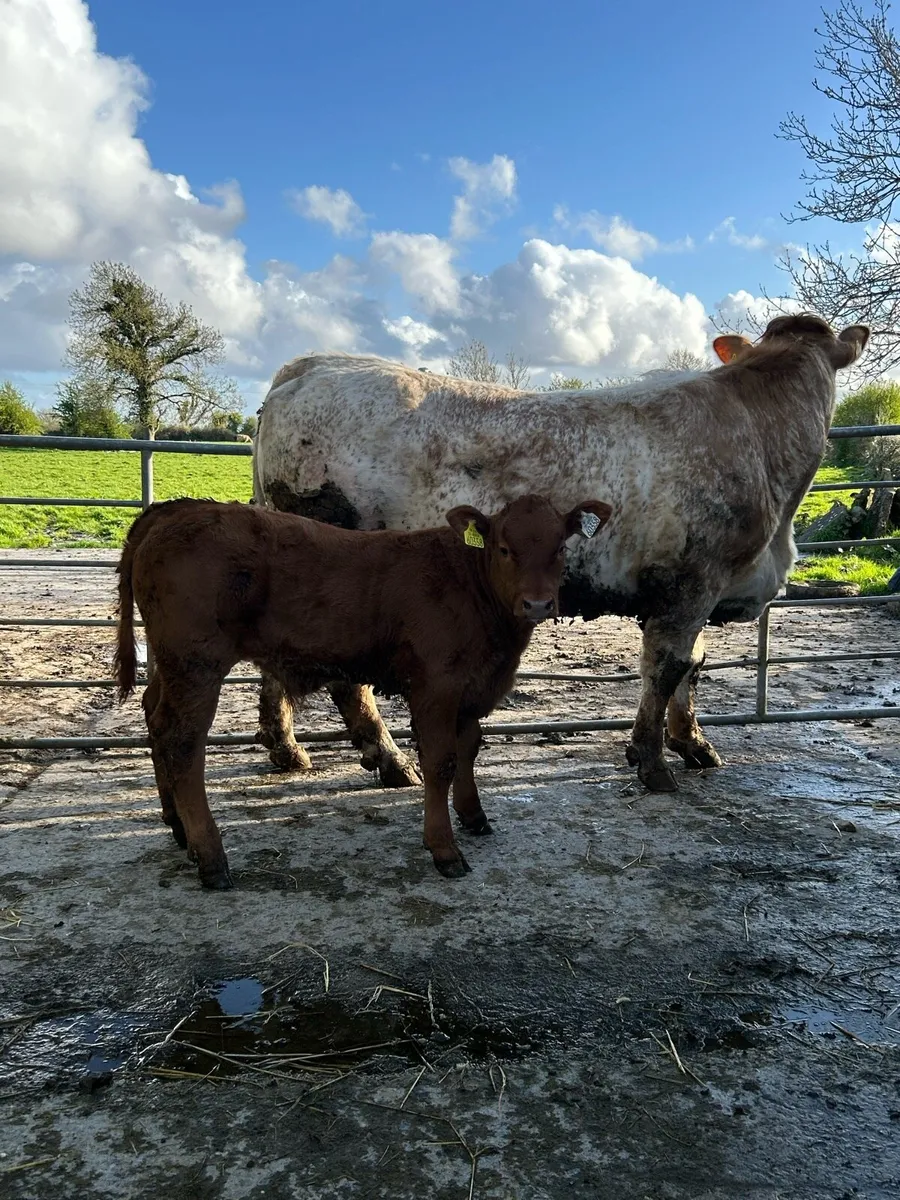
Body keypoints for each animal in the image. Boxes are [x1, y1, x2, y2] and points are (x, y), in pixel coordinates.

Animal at [115, 493, 611, 889]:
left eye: (560, 547)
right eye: (505, 548)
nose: (538, 603)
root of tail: (176, 510)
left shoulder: (473, 686)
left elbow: (469, 748)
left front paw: (474, 816)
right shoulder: (436, 687)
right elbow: (441, 762)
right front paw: (444, 848)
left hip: (173, 666)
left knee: (154, 717)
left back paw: (178, 827)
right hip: (197, 664)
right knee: (182, 743)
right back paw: (212, 858)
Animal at [252, 314, 869, 793]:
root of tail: (312, 365)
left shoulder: (698, 589)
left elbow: (692, 667)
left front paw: (693, 744)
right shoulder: (692, 581)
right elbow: (666, 669)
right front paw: (652, 763)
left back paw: (287, 750)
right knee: (346, 680)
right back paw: (390, 760)